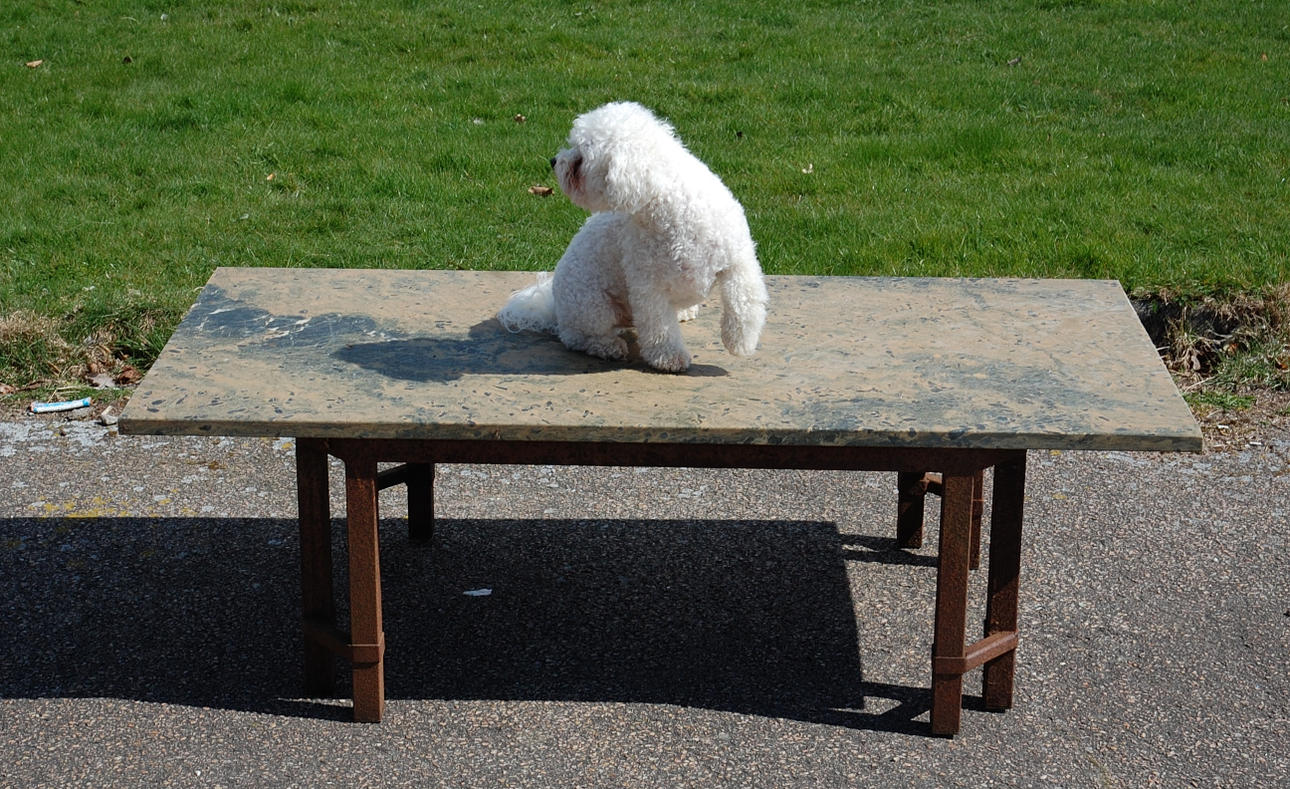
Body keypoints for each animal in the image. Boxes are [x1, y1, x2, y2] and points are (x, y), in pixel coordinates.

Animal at [497, 101, 768, 372]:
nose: (554, 161)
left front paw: (740, 341)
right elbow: (659, 327)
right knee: (576, 336)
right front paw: (669, 357)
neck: (676, 204)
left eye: (580, 160)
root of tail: (552, 304)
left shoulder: (738, 262)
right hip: (591, 306)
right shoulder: (648, 285)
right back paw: (606, 346)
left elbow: (743, 302)